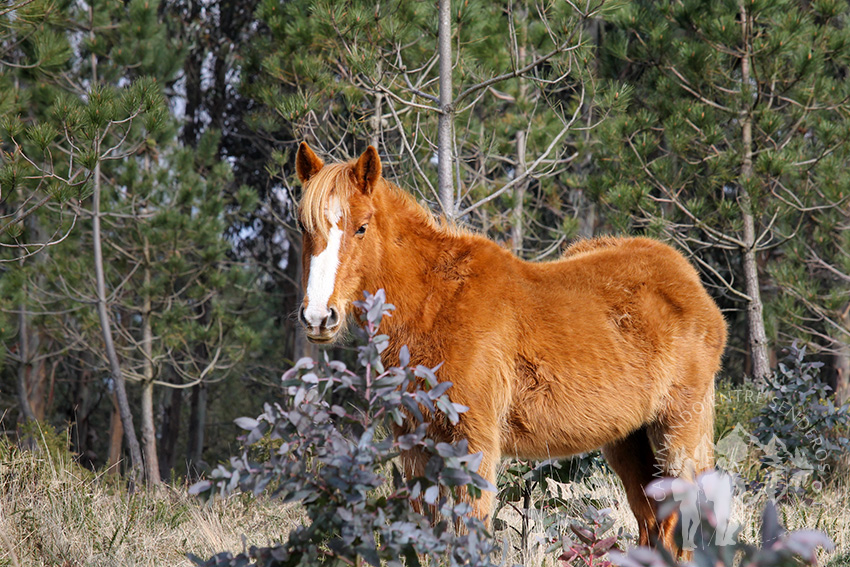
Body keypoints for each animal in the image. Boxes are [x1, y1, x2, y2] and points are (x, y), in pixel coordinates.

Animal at [294, 142, 724, 556]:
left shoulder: (475, 445)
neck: (436, 305)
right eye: (304, 227)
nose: (318, 317)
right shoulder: (414, 447)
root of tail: (688, 280)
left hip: (677, 433)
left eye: (361, 227)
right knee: (652, 525)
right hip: (628, 441)